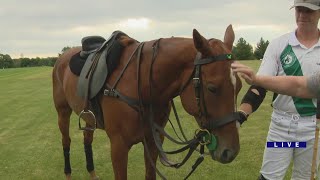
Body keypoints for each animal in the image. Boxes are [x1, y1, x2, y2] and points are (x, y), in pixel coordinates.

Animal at [52, 24, 242, 180]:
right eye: (212, 88)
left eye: (239, 86)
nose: (230, 152)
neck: (141, 85)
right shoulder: (118, 146)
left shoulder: (153, 140)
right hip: (63, 112)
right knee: (66, 141)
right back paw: (67, 173)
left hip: (88, 117)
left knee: (87, 139)